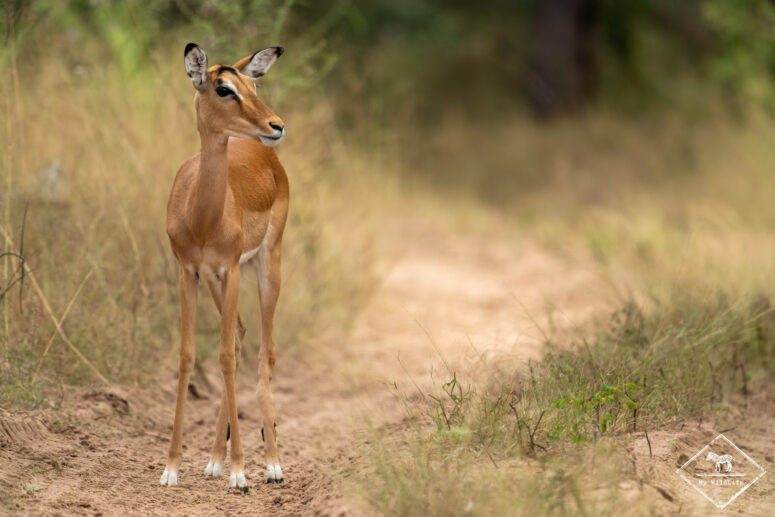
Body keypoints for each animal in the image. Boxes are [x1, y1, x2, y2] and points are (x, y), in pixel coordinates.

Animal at [159, 43, 288, 489]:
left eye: (253, 86)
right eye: (223, 88)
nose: (276, 125)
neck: (201, 217)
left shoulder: (231, 270)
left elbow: (228, 360)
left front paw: (240, 472)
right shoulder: (188, 272)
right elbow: (188, 355)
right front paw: (171, 468)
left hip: (268, 266)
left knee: (265, 352)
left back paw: (271, 466)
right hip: (216, 282)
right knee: (238, 337)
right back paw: (215, 459)